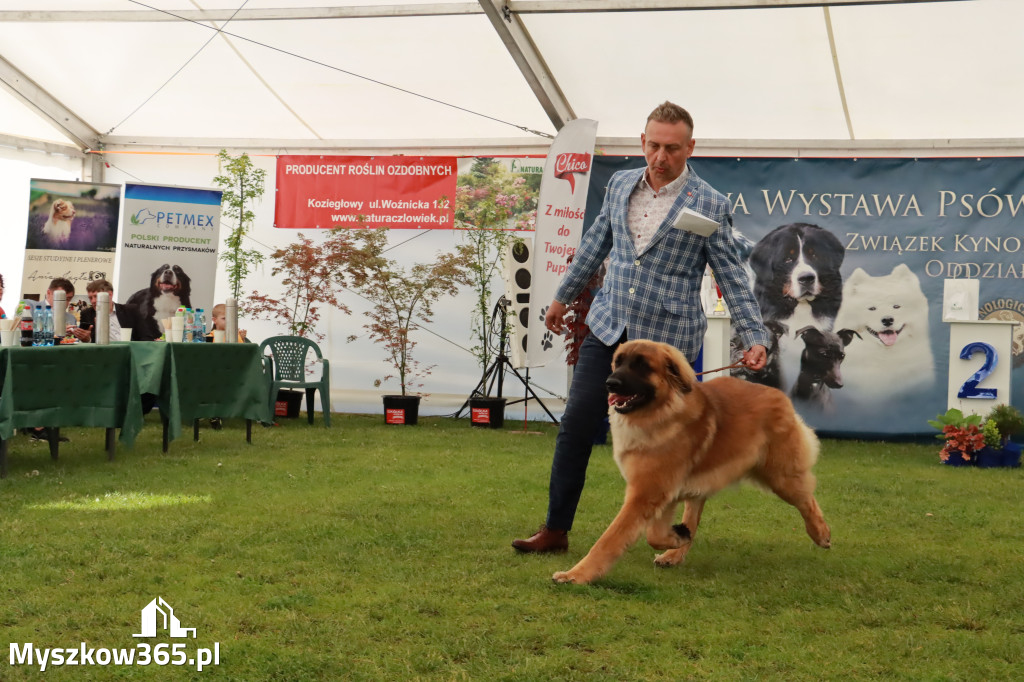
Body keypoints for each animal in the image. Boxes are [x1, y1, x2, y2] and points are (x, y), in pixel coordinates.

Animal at [552, 337, 831, 581]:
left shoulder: (645, 494)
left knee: (807, 500)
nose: (610, 382)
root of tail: (777, 394)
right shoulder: (661, 493)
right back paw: (675, 552)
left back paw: (821, 533)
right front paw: (677, 536)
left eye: (642, 366)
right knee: (693, 518)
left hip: (782, 476)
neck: (660, 413)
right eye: (618, 362)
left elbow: (609, 539)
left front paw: (576, 575)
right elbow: (655, 533)